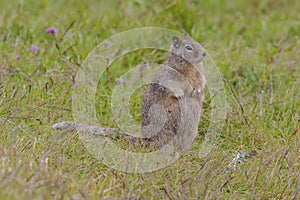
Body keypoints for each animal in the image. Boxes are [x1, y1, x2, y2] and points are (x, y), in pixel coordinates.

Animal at [52, 34, 206, 149]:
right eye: (188, 47)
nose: (204, 53)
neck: (190, 68)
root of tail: (146, 140)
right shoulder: (167, 76)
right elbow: (171, 86)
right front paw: (180, 94)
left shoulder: (199, 76)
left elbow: (202, 82)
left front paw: (196, 91)